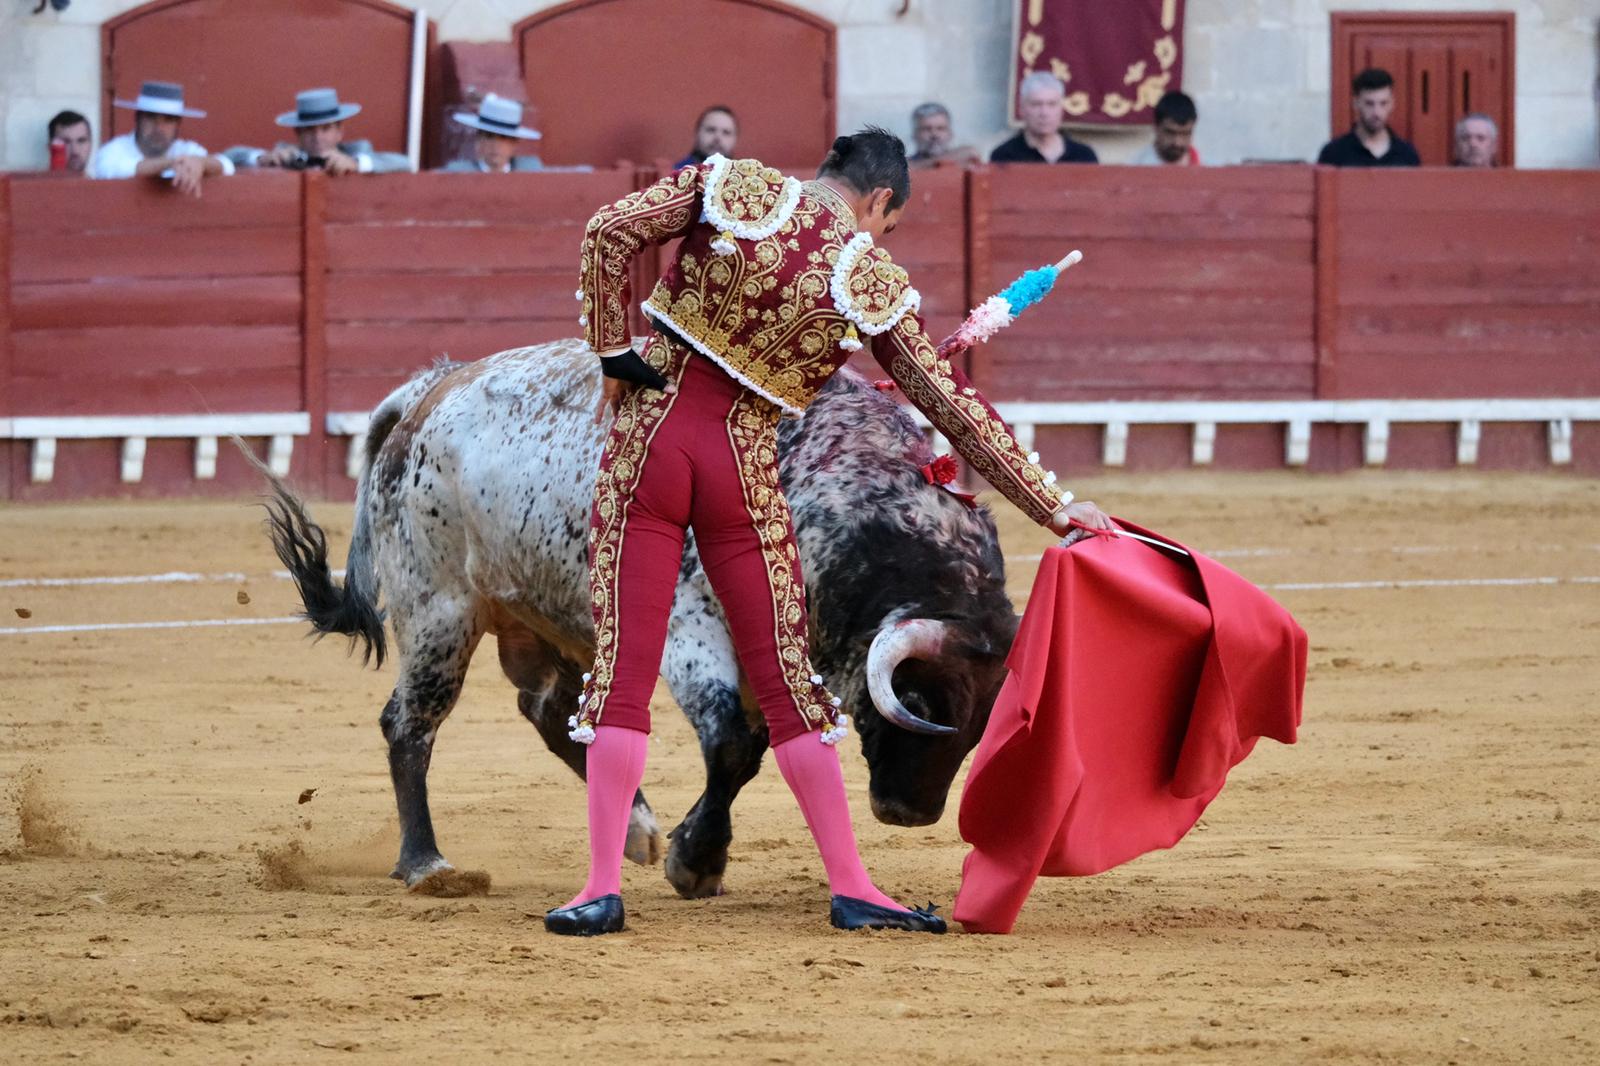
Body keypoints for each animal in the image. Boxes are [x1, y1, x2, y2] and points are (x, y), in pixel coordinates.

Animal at [259, 340, 1011, 896]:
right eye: (921, 701)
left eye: (981, 725)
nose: (911, 813)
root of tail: (431, 390)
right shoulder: (692, 627)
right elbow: (731, 745)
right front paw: (697, 862)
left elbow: (750, 752)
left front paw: (688, 852)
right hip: (439, 609)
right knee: (409, 724)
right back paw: (427, 864)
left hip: (552, 612)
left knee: (549, 712)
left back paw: (635, 830)